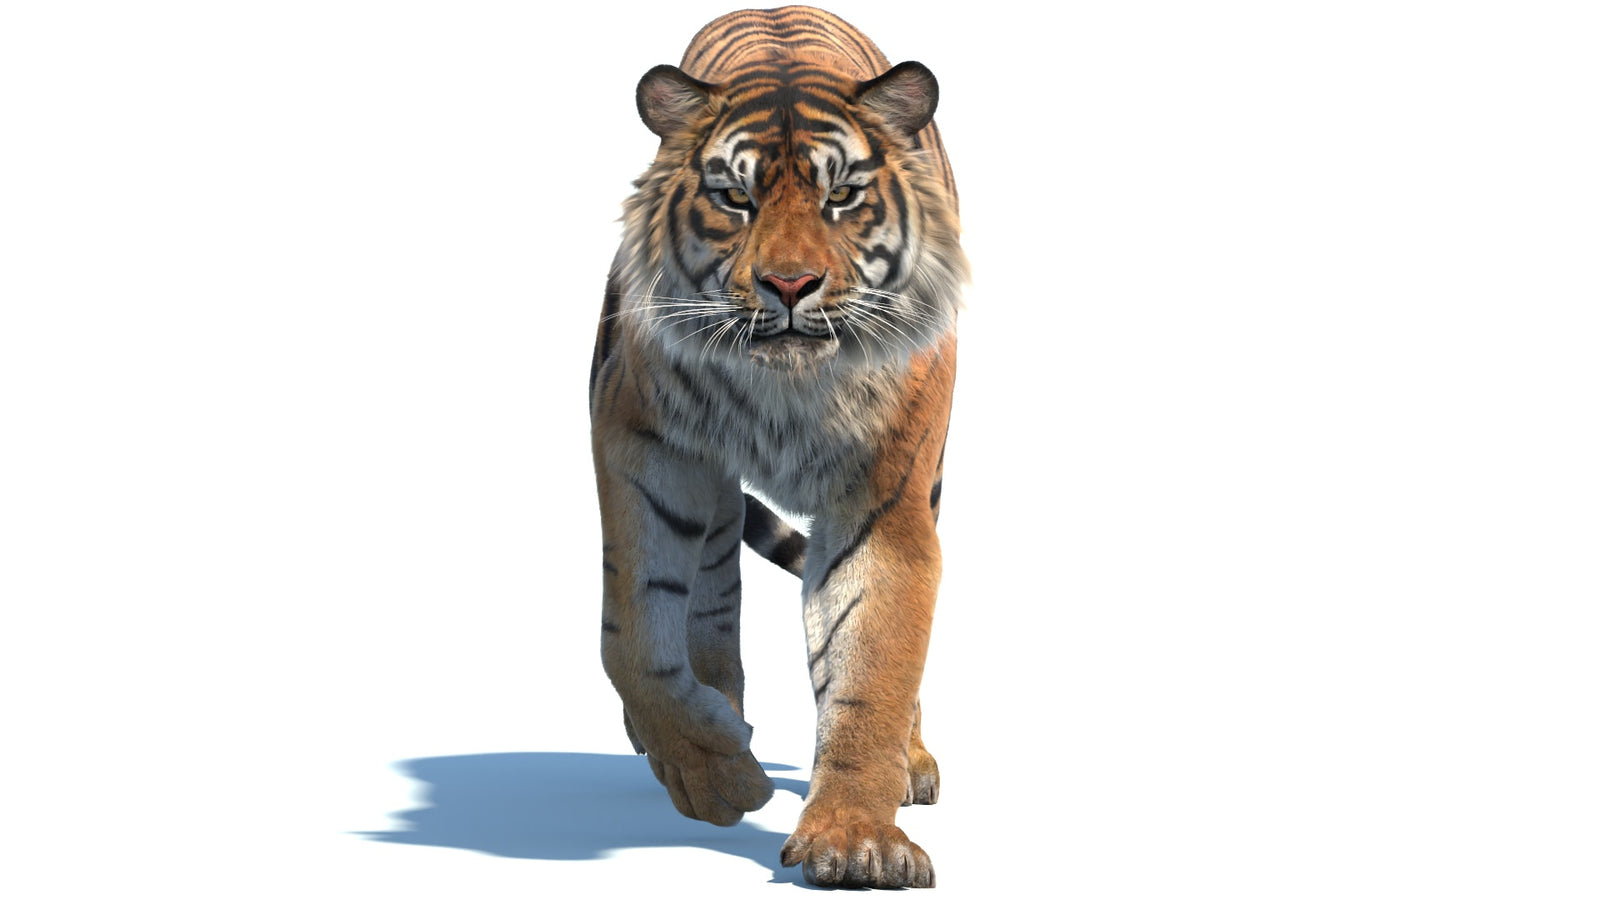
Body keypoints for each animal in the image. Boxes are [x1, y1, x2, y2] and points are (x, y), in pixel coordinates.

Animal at [588, 6, 967, 889]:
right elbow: (635, 638)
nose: (790, 286)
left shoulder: (884, 497)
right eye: (734, 198)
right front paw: (715, 774)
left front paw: (856, 840)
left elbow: (873, 664)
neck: (785, 391)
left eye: (842, 196)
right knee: (710, 617)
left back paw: (912, 761)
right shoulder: (643, 446)